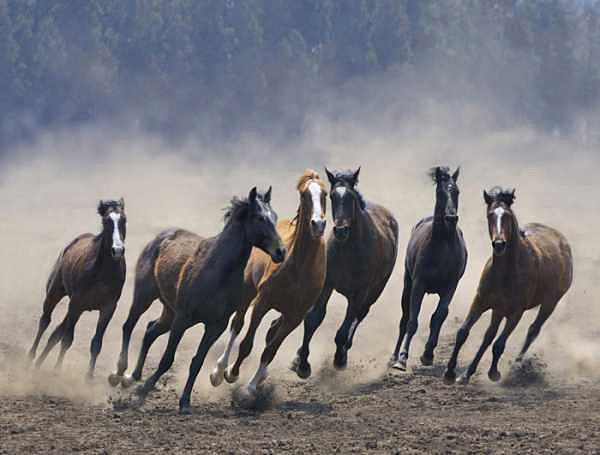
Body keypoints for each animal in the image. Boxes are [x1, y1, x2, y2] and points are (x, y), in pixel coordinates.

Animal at [29, 198, 126, 380]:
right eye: (106, 221)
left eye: (124, 220)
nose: (117, 250)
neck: (103, 272)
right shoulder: (77, 303)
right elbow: (67, 339)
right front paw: (57, 369)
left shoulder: (108, 308)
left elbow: (96, 343)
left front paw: (88, 377)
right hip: (55, 293)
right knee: (45, 321)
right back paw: (30, 358)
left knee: (56, 331)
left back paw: (38, 363)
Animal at [211, 171, 328, 396]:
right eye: (304, 194)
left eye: (325, 193)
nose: (318, 224)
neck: (299, 266)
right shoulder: (262, 302)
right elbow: (246, 343)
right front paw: (232, 374)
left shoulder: (295, 316)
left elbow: (270, 350)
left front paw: (250, 388)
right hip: (247, 290)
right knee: (237, 325)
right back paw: (220, 370)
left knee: (271, 332)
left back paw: (260, 375)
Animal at [290, 167, 398, 378]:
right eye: (332, 196)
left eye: (351, 197)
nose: (340, 230)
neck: (349, 249)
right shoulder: (327, 284)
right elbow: (313, 318)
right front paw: (302, 363)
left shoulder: (361, 292)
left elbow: (344, 328)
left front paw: (339, 358)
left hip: (374, 291)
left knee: (359, 315)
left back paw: (345, 350)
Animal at [390, 166, 468, 372]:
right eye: (440, 192)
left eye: (457, 191)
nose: (451, 217)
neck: (442, 247)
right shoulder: (419, 284)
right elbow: (411, 321)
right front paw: (402, 359)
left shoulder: (450, 286)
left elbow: (439, 316)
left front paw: (427, 354)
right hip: (407, 284)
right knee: (404, 318)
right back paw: (393, 357)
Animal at [442, 188, 576, 384]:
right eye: (490, 215)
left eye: (507, 215)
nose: (499, 244)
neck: (505, 273)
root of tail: (562, 240)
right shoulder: (480, 301)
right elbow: (463, 332)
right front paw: (450, 373)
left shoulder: (516, 312)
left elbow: (499, 344)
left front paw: (494, 373)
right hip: (498, 309)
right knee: (488, 336)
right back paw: (467, 373)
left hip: (550, 303)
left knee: (533, 330)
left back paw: (516, 366)